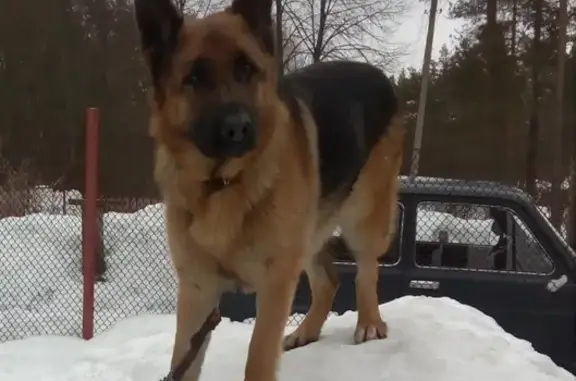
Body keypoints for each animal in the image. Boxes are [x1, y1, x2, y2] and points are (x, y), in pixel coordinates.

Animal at [135, 0, 404, 378]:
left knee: (366, 271)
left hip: (362, 216)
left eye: (247, 69)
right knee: (328, 280)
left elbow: (258, 358)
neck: (223, 183)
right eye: (195, 78)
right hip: (309, 229)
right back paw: (306, 332)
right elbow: (183, 363)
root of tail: (380, 76)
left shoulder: (275, 283)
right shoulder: (197, 291)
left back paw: (368, 323)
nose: (238, 128)